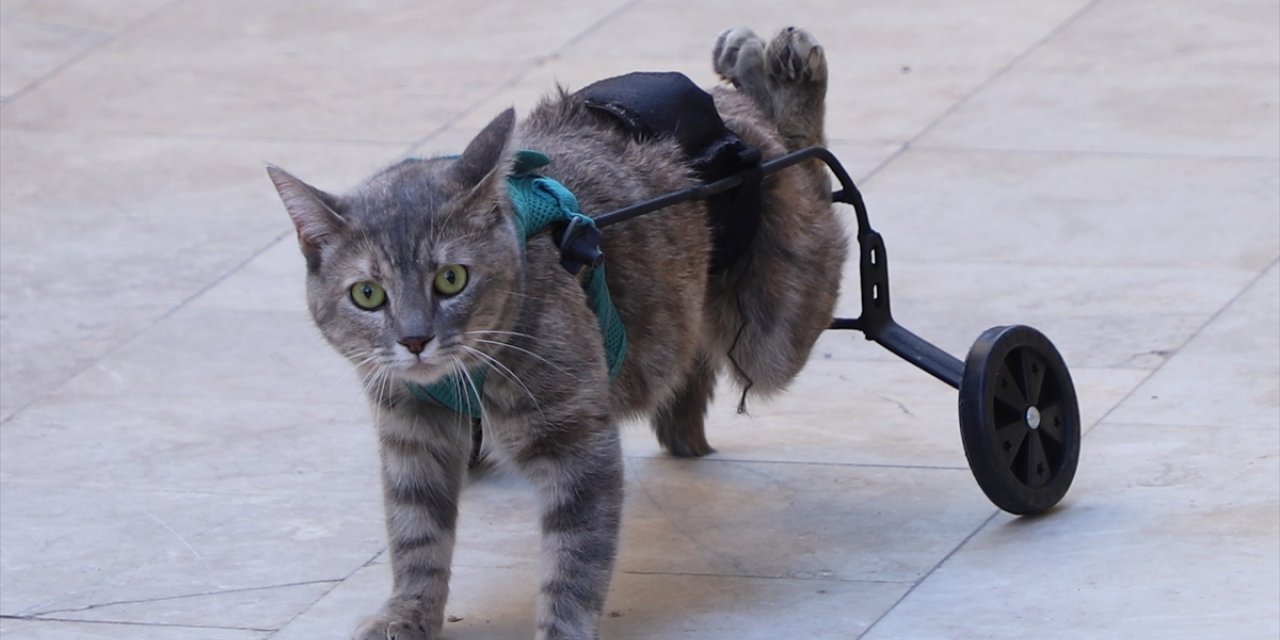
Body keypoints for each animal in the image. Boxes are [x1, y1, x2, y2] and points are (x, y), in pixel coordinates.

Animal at [268, 26, 844, 640]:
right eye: (367, 295)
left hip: (773, 326)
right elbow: (415, 534)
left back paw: (778, 72)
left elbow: (574, 560)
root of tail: (731, 114)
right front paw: (409, 612)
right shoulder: (410, 432)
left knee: (813, 173)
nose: (416, 340)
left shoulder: (577, 444)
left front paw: (559, 628)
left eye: (451, 279)